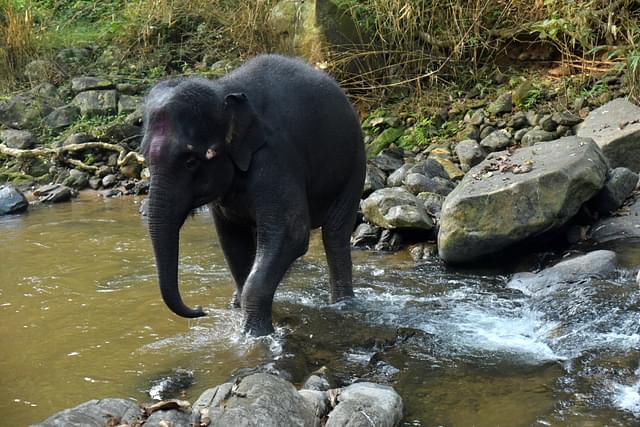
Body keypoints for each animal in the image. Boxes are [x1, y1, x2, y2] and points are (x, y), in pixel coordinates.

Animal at [142, 53, 368, 336]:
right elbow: (232, 242)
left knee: (335, 234)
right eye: (144, 157)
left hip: (354, 167)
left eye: (190, 162)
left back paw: (342, 304)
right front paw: (242, 314)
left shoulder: (275, 158)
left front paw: (254, 333)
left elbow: (292, 233)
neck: (223, 88)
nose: (201, 309)